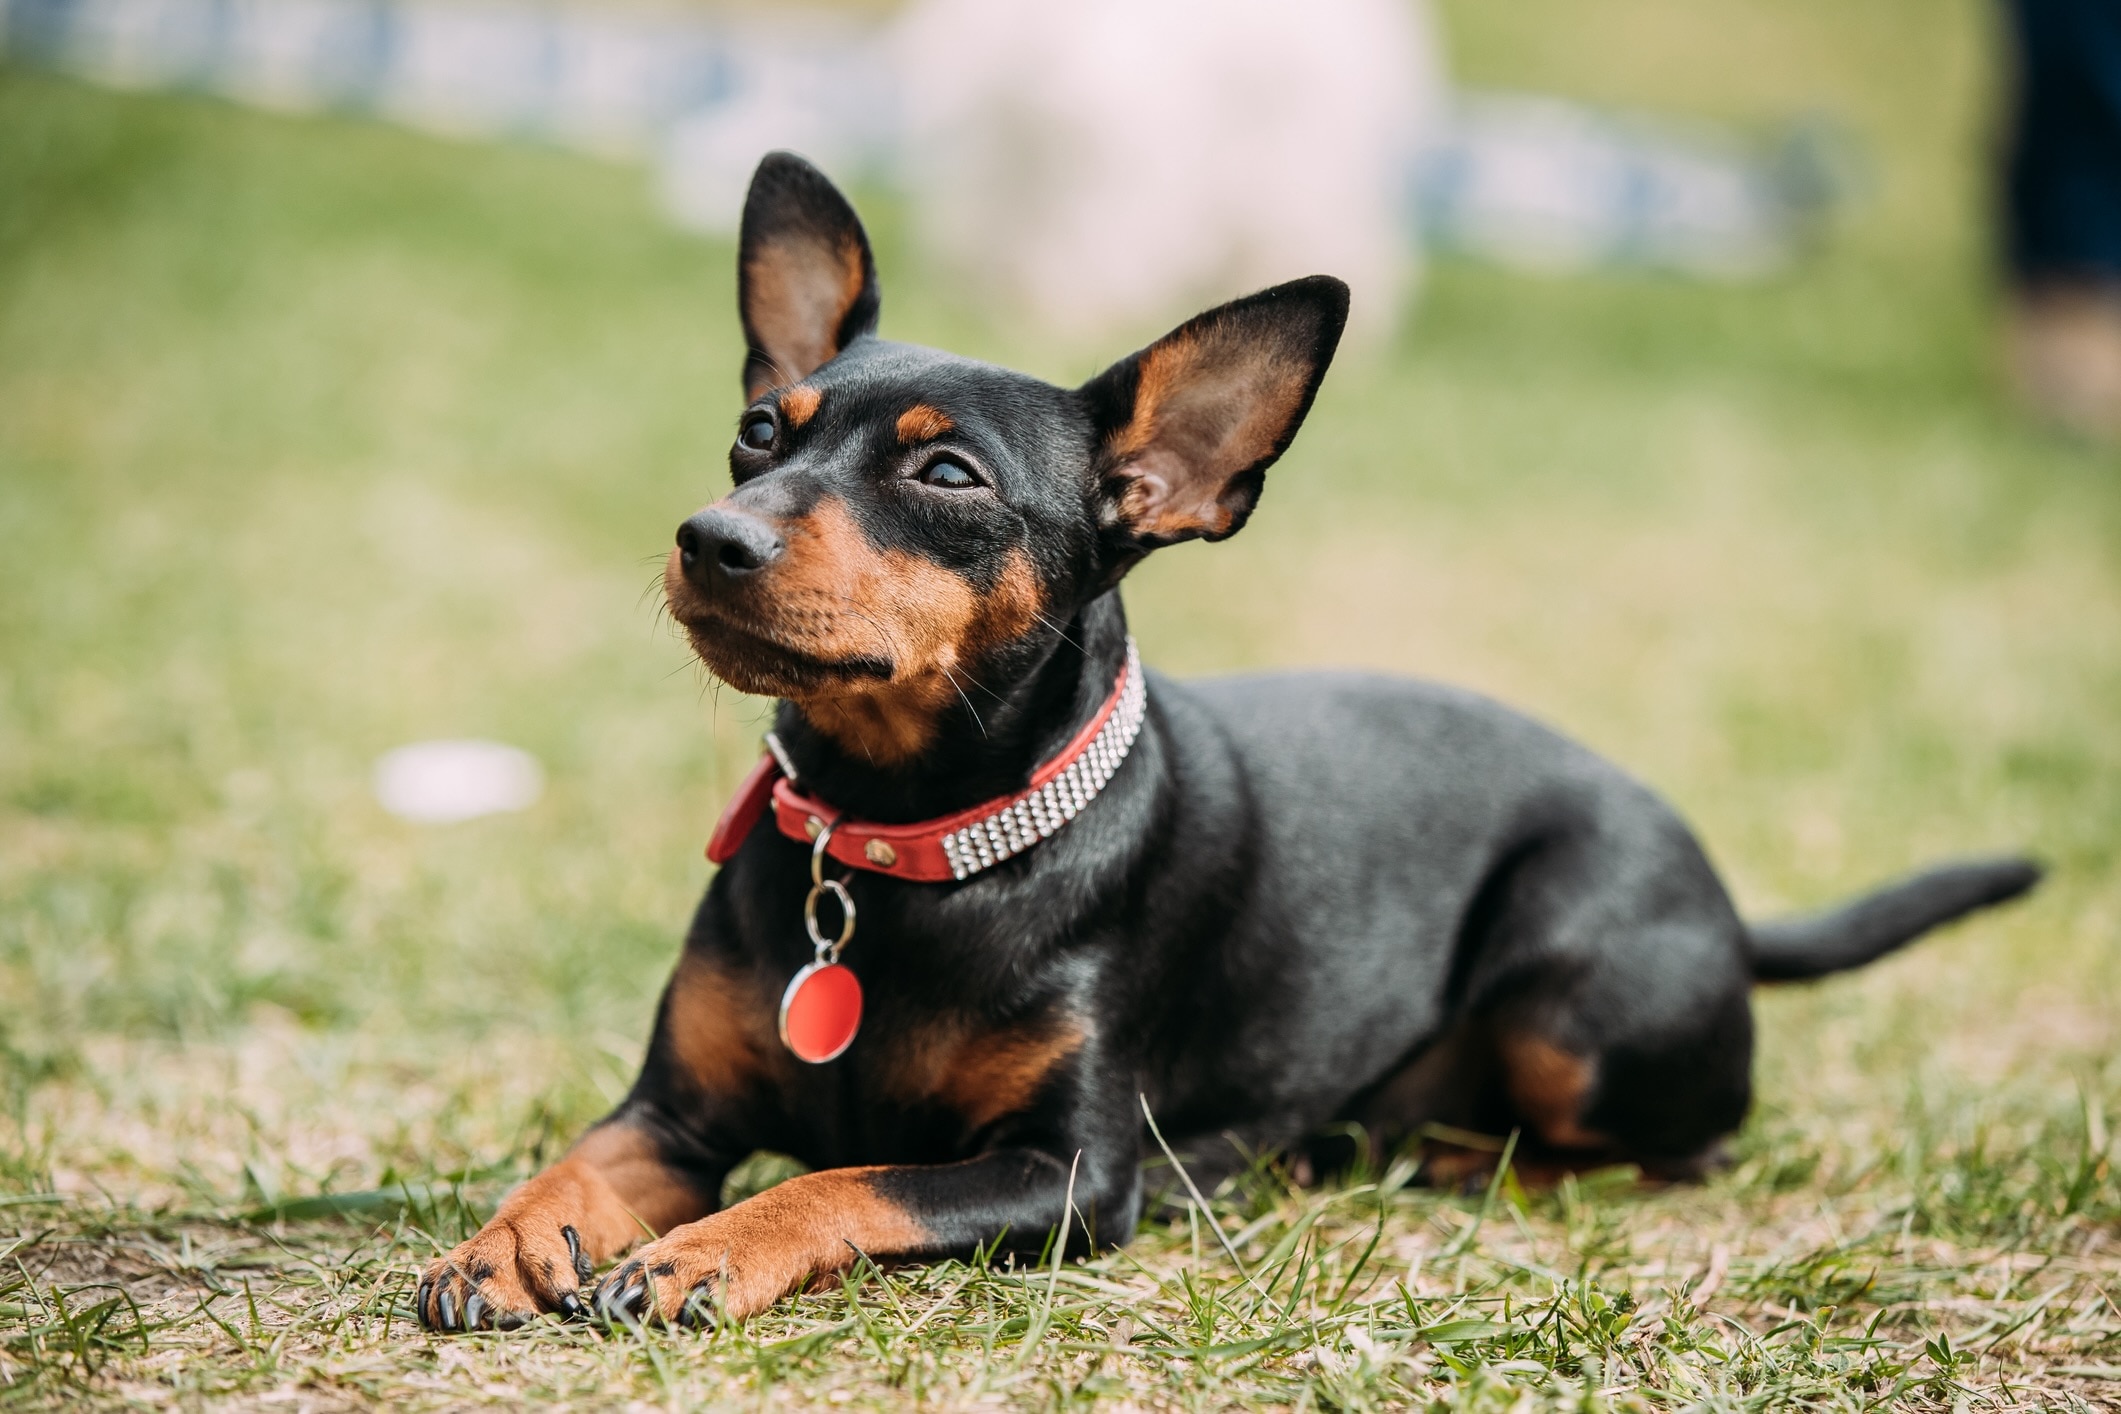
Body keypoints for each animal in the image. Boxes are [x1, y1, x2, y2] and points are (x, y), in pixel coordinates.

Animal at [417, 157, 2036, 1339]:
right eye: (762, 429)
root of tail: (1730, 906)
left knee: (1671, 1145)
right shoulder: (670, 1112)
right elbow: (580, 1160)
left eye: (947, 474)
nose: (712, 536)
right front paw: (506, 1240)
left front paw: (707, 1249)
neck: (901, 839)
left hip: (1578, 1002)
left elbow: (852, 1181)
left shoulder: (1073, 1176)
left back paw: (1443, 1153)